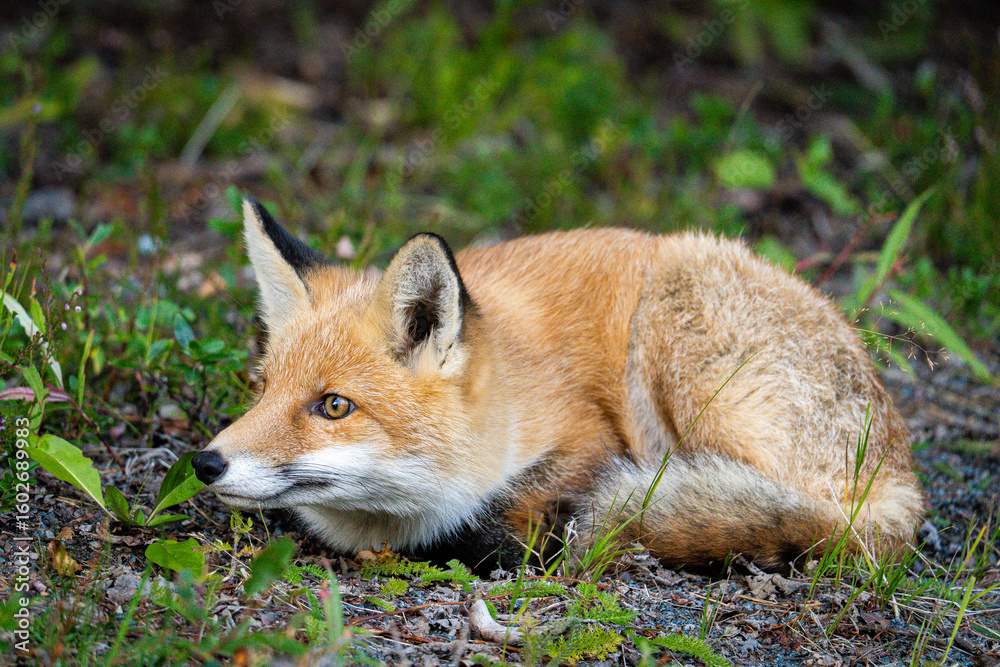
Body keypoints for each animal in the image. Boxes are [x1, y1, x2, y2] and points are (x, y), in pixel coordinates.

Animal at [192, 197, 923, 573]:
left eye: (334, 405)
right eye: (263, 388)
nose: (206, 462)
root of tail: (903, 486)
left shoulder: (592, 436)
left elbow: (521, 514)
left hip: (674, 330)